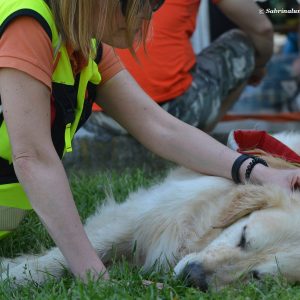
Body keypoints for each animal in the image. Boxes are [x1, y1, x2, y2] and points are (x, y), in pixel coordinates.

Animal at [1, 132, 300, 290]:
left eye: (257, 277)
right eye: (243, 237)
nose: (193, 277)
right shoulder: (144, 214)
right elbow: (66, 253)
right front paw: (12, 275)